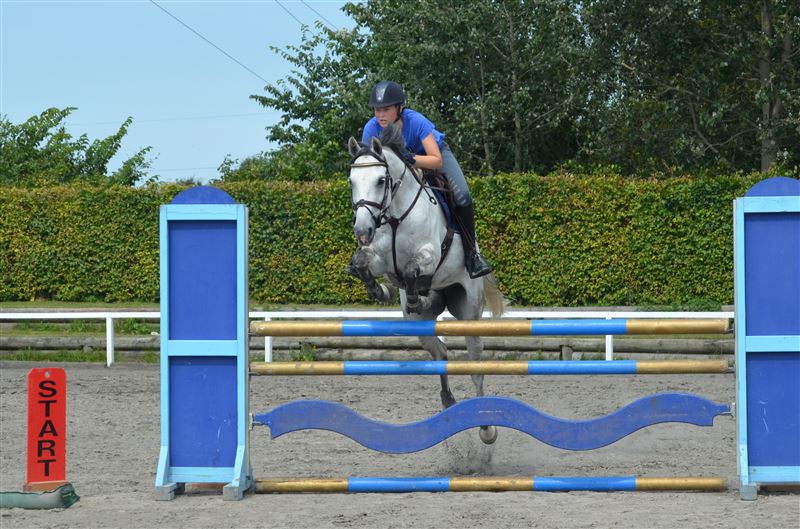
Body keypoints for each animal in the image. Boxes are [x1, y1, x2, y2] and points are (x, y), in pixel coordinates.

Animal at [347, 124, 506, 445]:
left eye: (381, 180)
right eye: (351, 182)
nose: (362, 230)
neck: (396, 216)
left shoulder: (430, 256)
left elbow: (411, 268)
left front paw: (410, 294)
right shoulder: (380, 260)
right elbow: (363, 263)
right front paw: (380, 290)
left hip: (469, 311)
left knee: (476, 366)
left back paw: (486, 428)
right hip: (420, 326)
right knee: (441, 353)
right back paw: (447, 400)